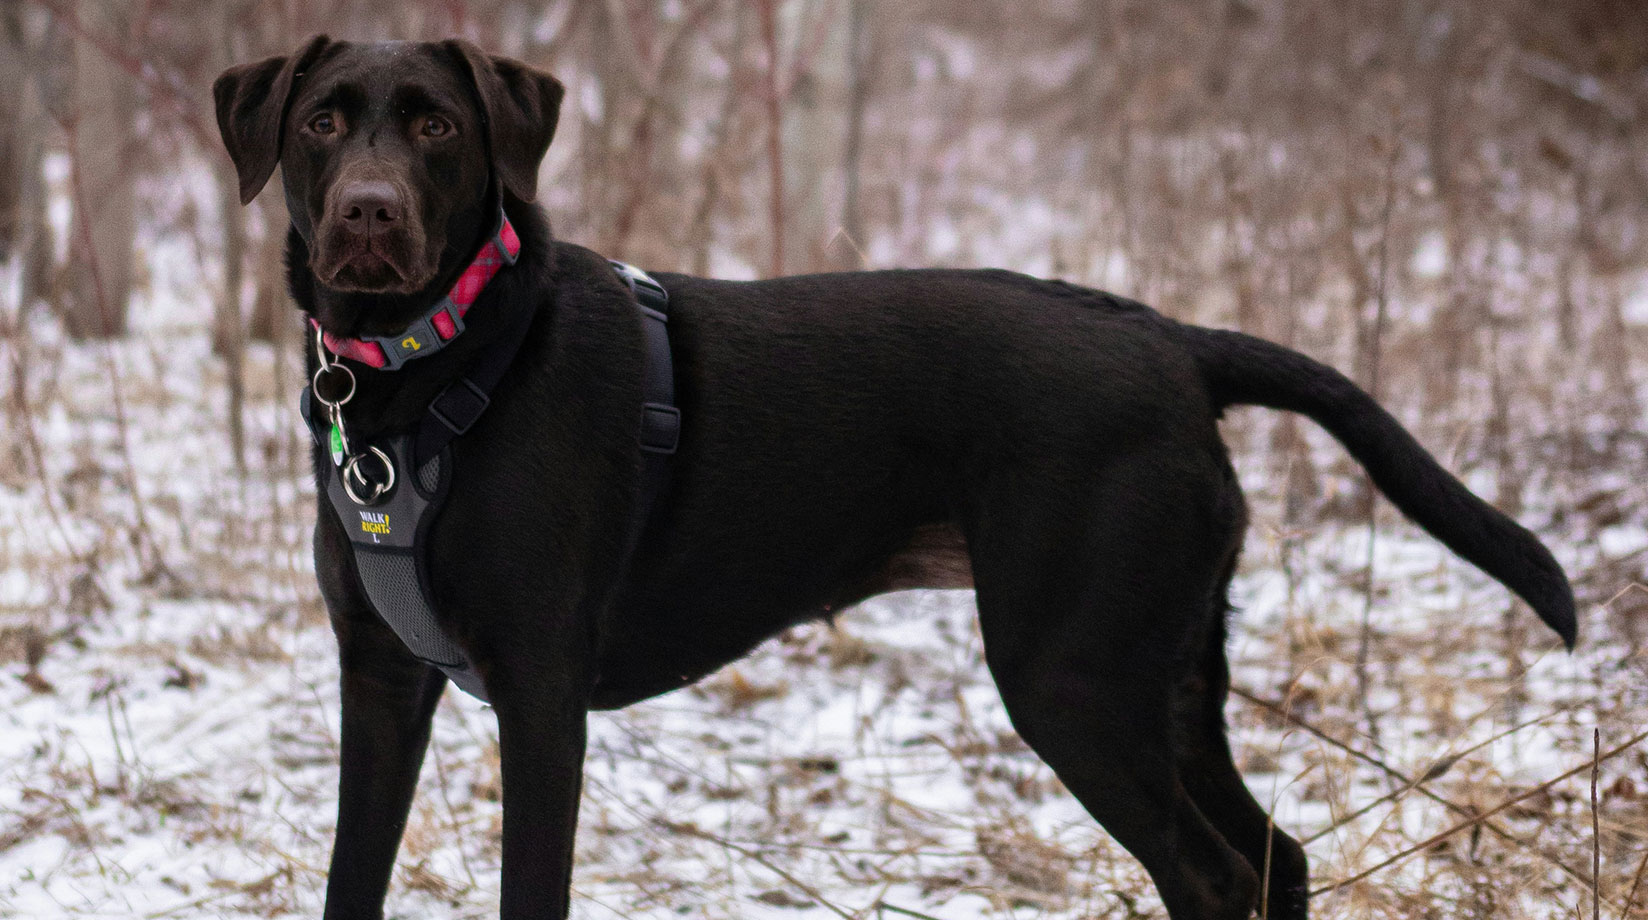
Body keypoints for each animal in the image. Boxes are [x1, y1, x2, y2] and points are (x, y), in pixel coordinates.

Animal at [212, 36, 1575, 920]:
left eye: (437, 126)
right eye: (321, 121)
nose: (370, 215)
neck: (429, 369)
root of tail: (1172, 341)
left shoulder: (539, 696)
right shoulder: (381, 677)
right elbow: (350, 879)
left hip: (1073, 675)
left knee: (1212, 874)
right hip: (1173, 673)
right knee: (1275, 863)